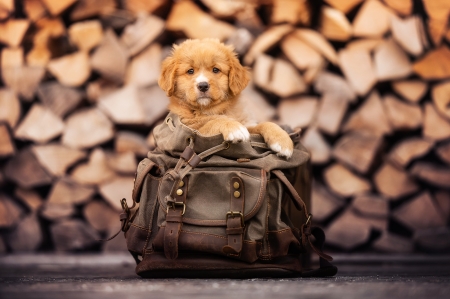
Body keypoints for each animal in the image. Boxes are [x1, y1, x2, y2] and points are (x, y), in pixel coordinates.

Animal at [156, 39, 294, 159]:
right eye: (190, 71)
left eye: (215, 70)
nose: (203, 85)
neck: (210, 109)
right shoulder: (193, 130)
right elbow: (213, 122)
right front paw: (234, 127)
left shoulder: (247, 123)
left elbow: (264, 124)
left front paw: (283, 140)